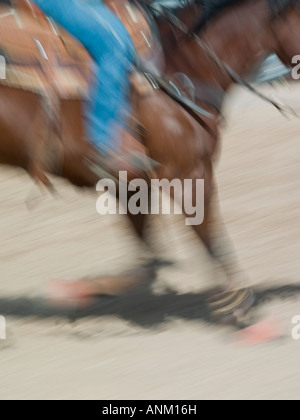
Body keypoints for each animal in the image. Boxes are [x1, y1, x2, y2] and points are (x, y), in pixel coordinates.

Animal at [0, 0, 296, 322]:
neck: (181, 69)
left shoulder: (132, 184)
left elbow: (147, 259)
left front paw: (83, 291)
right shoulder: (187, 173)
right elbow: (209, 237)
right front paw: (237, 304)